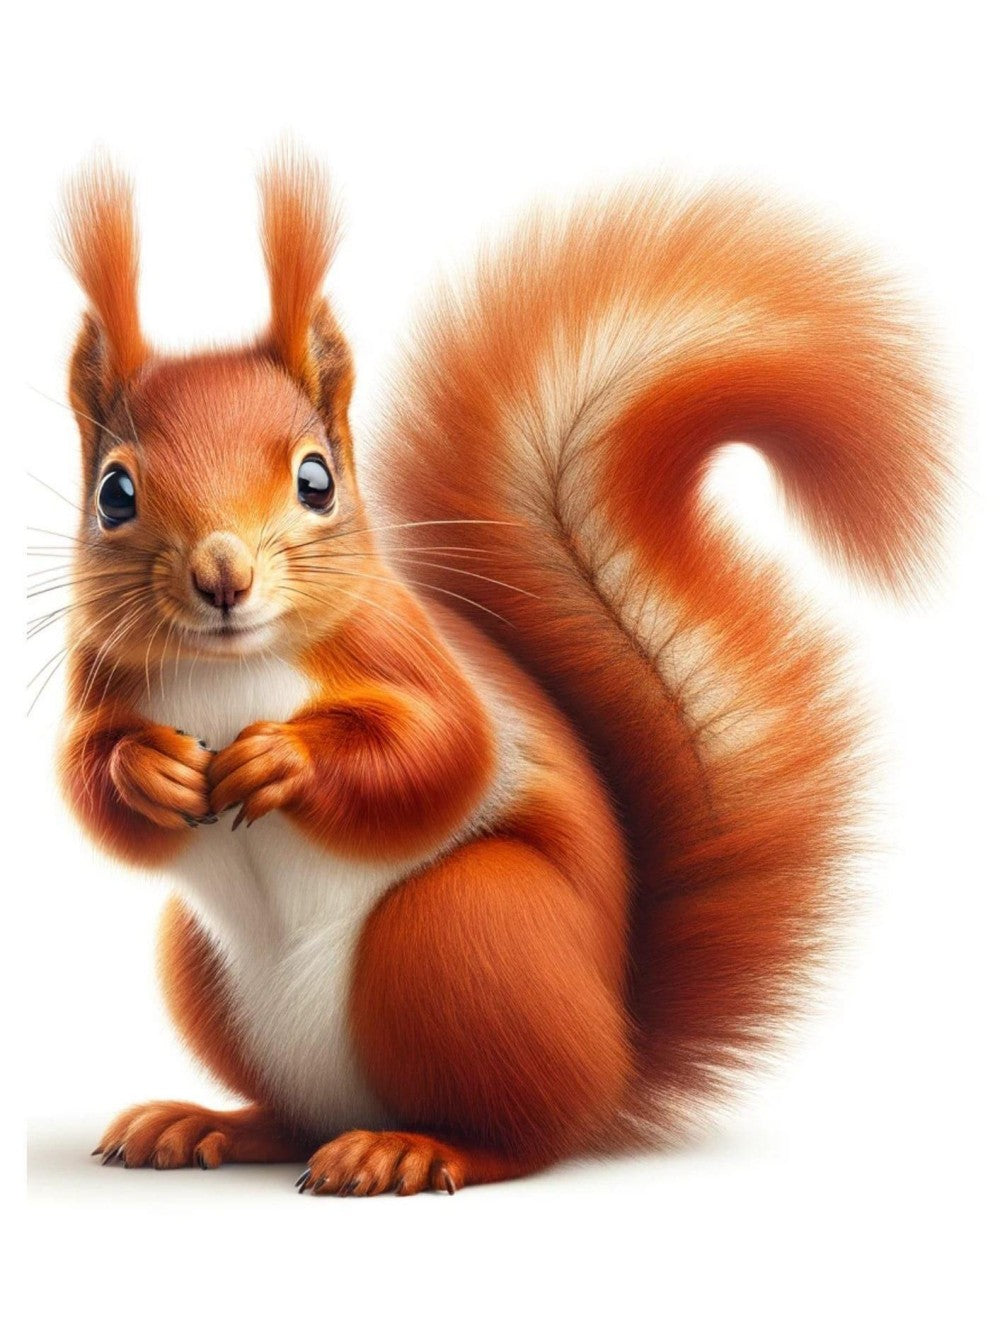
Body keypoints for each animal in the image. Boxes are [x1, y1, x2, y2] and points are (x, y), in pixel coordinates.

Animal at [54, 151, 947, 1195]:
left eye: (317, 480)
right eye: (114, 493)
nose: (222, 577)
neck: (228, 664)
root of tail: (616, 1056)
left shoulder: (403, 650)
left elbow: (442, 753)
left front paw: (283, 759)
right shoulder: (100, 679)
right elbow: (87, 785)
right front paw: (146, 768)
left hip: (465, 928)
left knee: (522, 1135)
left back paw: (409, 1148)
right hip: (203, 969)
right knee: (295, 1117)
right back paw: (208, 1124)